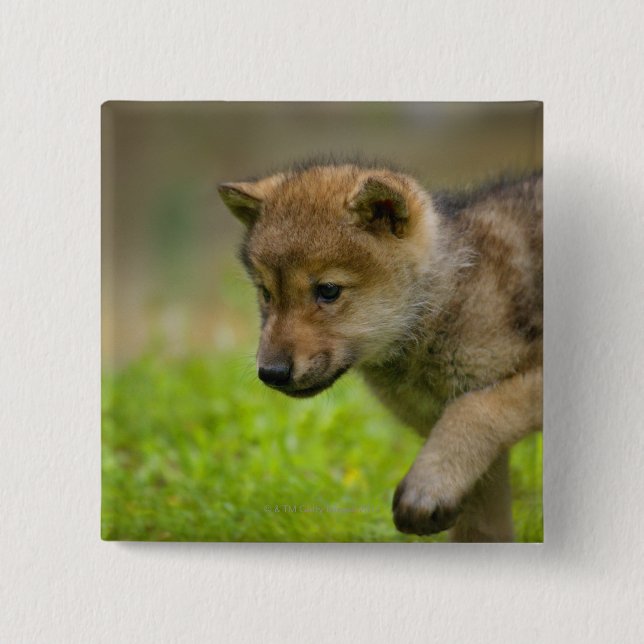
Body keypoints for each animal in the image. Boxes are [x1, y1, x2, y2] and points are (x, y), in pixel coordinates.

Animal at [219, 160, 542, 542]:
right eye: (266, 293)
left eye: (329, 291)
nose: (271, 373)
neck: (448, 300)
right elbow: (483, 527)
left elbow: (475, 409)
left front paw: (426, 486)